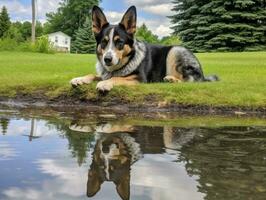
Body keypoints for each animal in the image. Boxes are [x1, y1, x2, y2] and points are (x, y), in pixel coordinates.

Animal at [70, 5, 218, 91]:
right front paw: (80, 79)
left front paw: (105, 83)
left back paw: (172, 80)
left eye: (120, 42)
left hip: (174, 51)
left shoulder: (139, 79)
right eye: (103, 42)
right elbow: (94, 75)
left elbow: (117, 78)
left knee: (191, 82)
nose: (107, 59)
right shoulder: (104, 73)